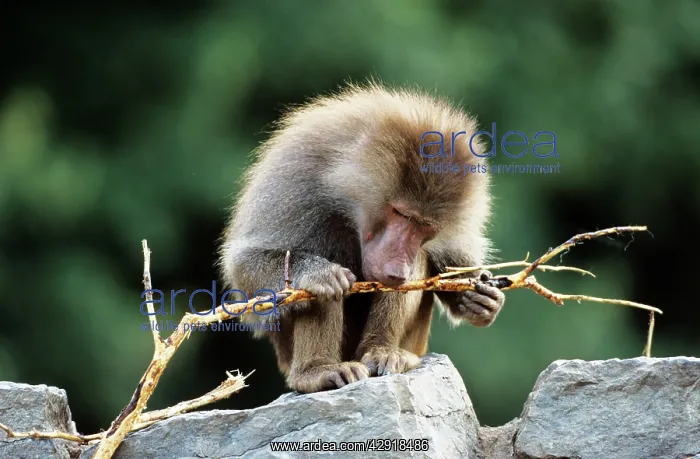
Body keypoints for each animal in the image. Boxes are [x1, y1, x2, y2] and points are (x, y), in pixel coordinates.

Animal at [218, 81, 505, 393]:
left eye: (425, 228)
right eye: (400, 213)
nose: (396, 271)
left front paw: (478, 299)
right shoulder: (297, 176)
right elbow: (245, 267)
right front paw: (318, 274)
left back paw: (383, 352)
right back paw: (317, 372)